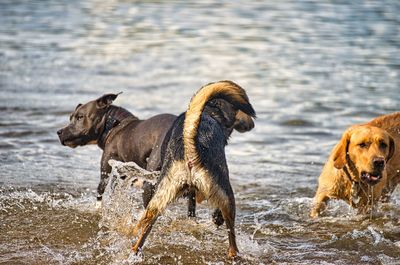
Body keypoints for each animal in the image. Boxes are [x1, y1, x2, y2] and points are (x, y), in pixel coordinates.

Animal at [131, 80, 256, 256]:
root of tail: (191, 149)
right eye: (239, 110)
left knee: (143, 230)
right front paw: (216, 218)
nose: (252, 124)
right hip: (227, 195)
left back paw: (135, 252)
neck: (210, 111)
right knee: (231, 238)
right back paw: (234, 253)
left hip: (159, 198)